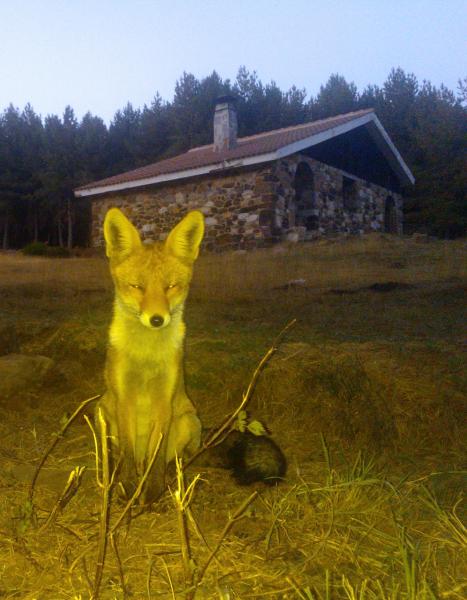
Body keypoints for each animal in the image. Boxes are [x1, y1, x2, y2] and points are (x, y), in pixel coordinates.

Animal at [97, 207, 204, 505]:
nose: (157, 319)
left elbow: (157, 457)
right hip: (102, 411)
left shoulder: (164, 400)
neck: (146, 358)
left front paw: (153, 492)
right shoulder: (123, 398)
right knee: (124, 455)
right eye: (137, 286)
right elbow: (127, 451)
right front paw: (127, 488)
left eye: (171, 286)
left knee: (171, 458)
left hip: (189, 420)